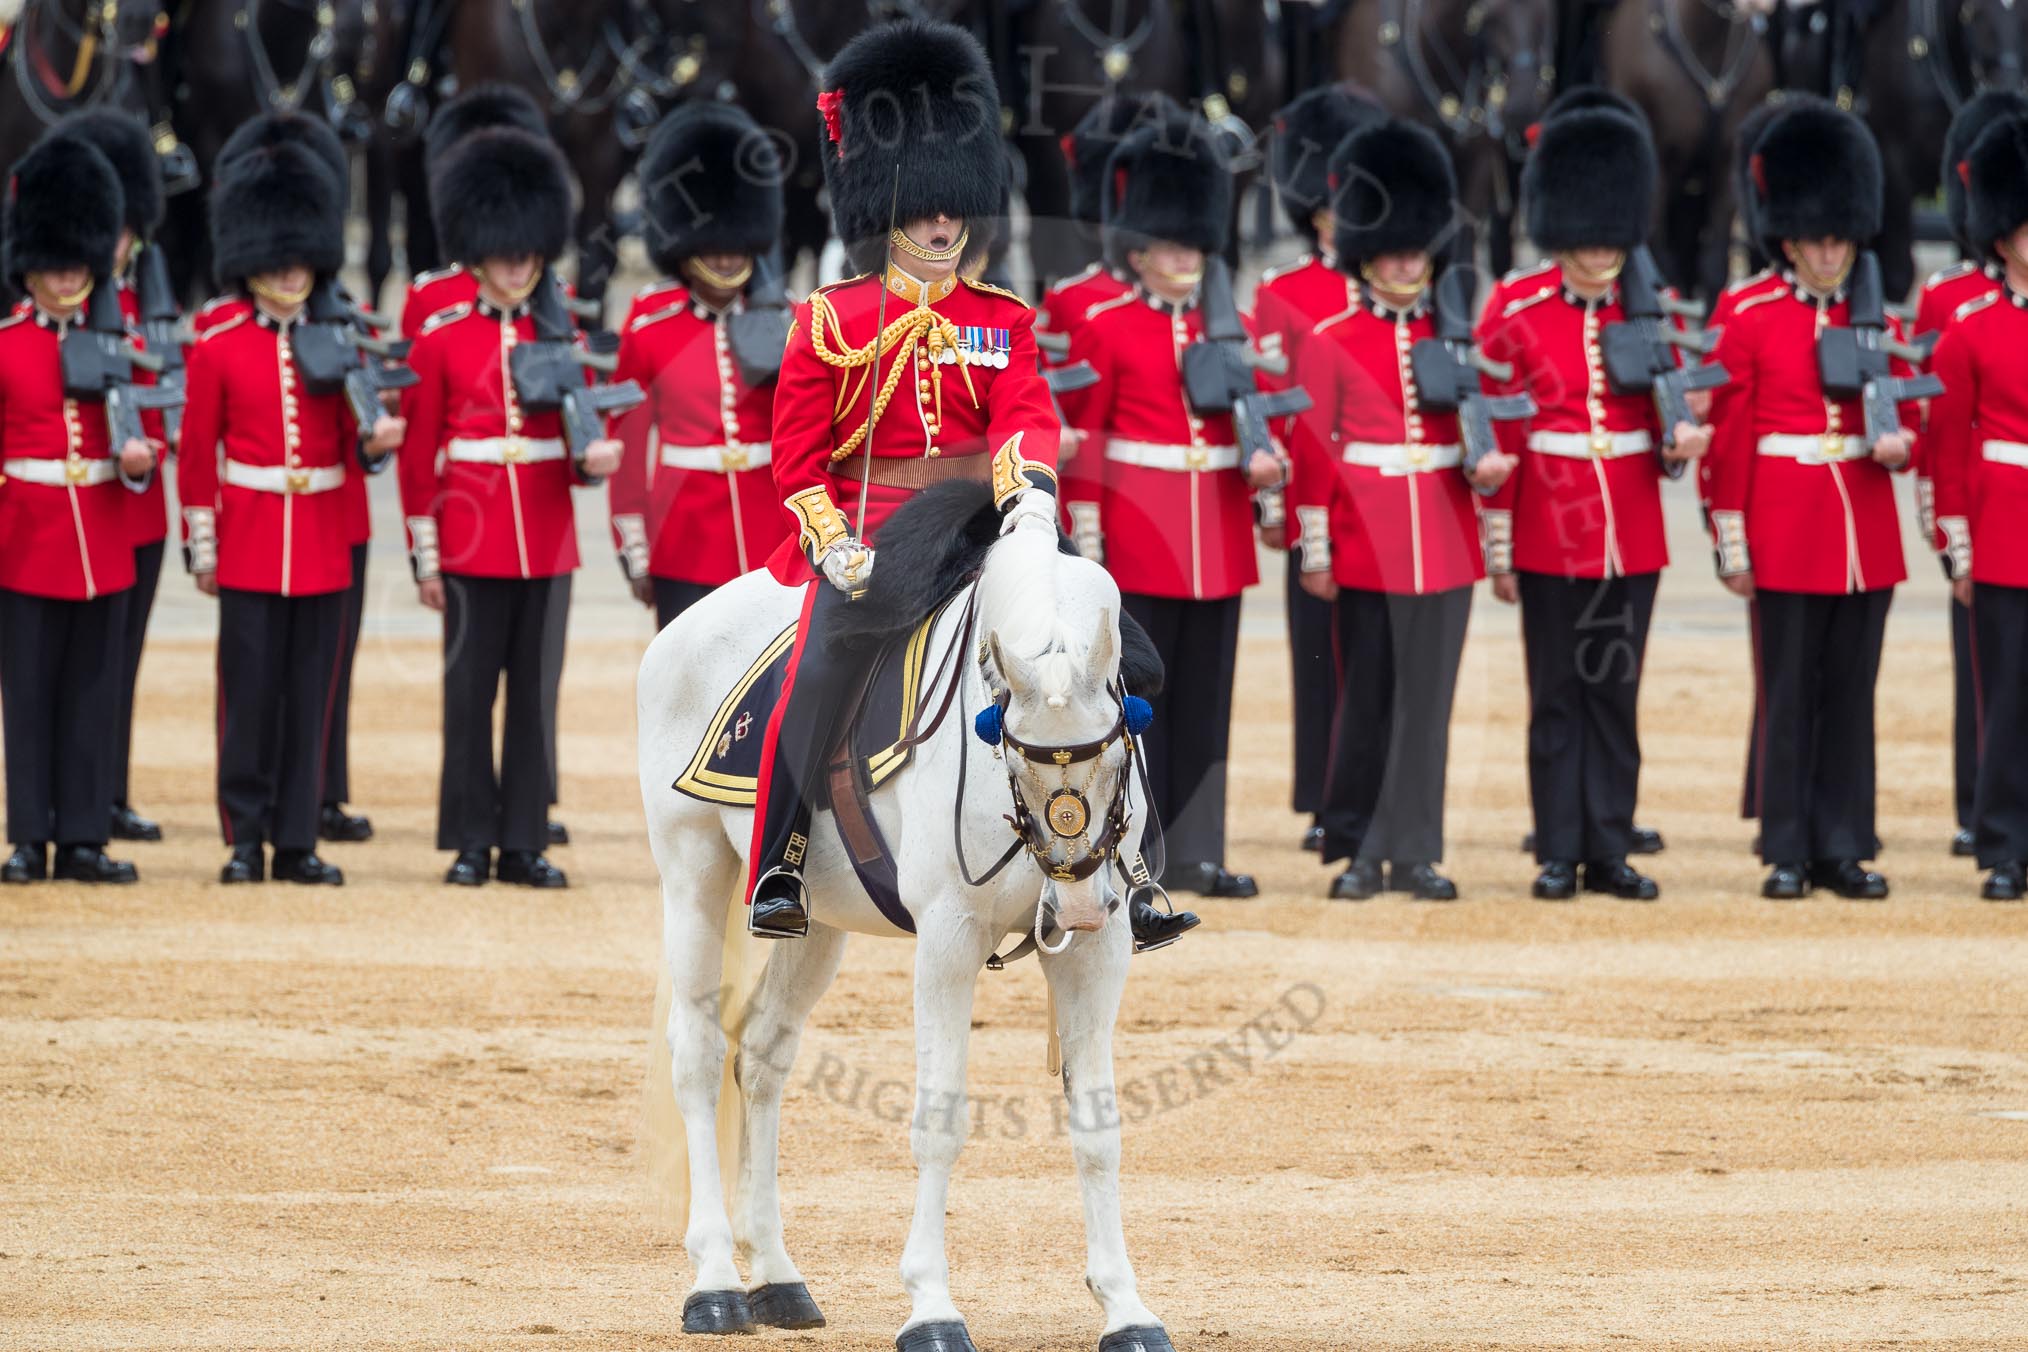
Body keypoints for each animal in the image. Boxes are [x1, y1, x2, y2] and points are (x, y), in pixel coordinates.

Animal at [636, 495, 1176, 1352]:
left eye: (1123, 748)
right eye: (1008, 750)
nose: (1079, 906)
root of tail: (678, 632)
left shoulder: (1100, 955)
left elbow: (1098, 1126)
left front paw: (1126, 1308)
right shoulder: (949, 940)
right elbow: (940, 1118)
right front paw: (931, 1306)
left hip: (815, 925)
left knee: (762, 1060)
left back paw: (777, 1278)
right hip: (693, 872)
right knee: (697, 1055)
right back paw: (716, 1280)